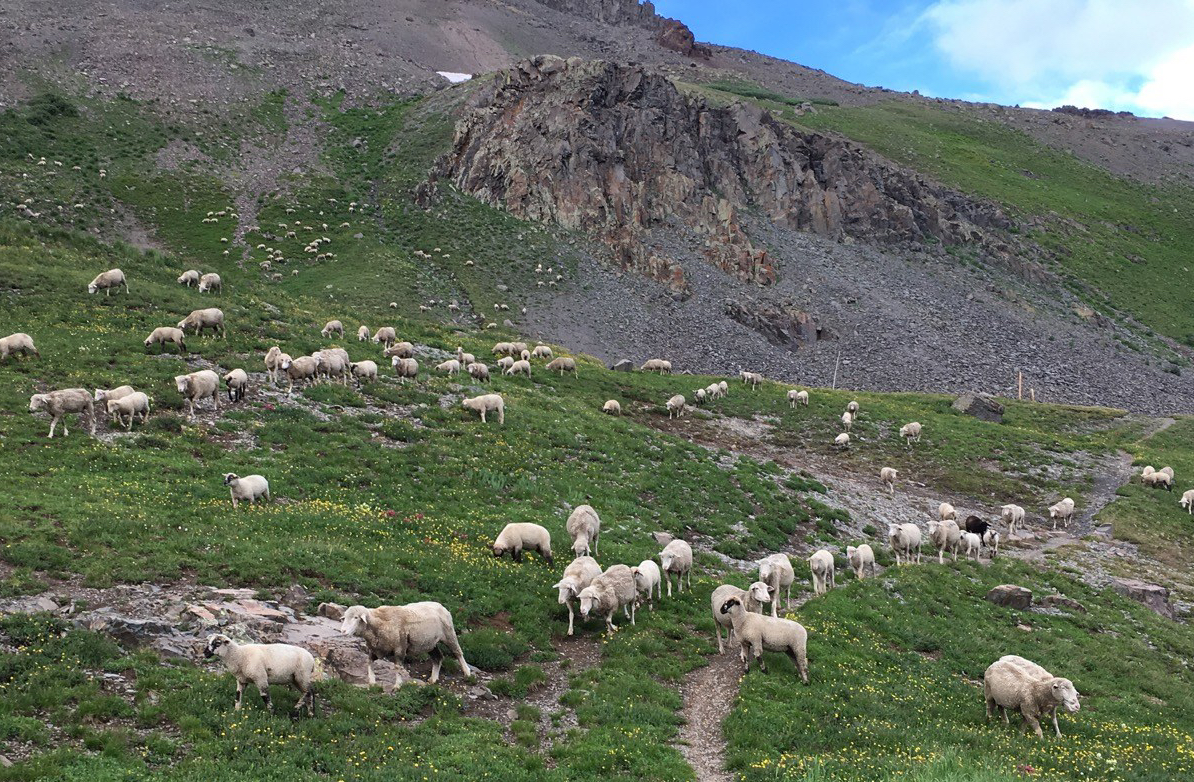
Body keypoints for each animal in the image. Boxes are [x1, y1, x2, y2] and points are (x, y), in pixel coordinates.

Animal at [339, 603, 472, 688]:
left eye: (356, 617)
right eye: (345, 618)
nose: (343, 631)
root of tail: (441, 605)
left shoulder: (400, 647)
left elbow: (398, 667)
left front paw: (397, 685)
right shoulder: (377, 648)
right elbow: (369, 662)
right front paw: (372, 681)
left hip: (449, 634)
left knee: (458, 653)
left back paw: (467, 672)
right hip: (430, 643)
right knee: (438, 657)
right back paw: (433, 679)